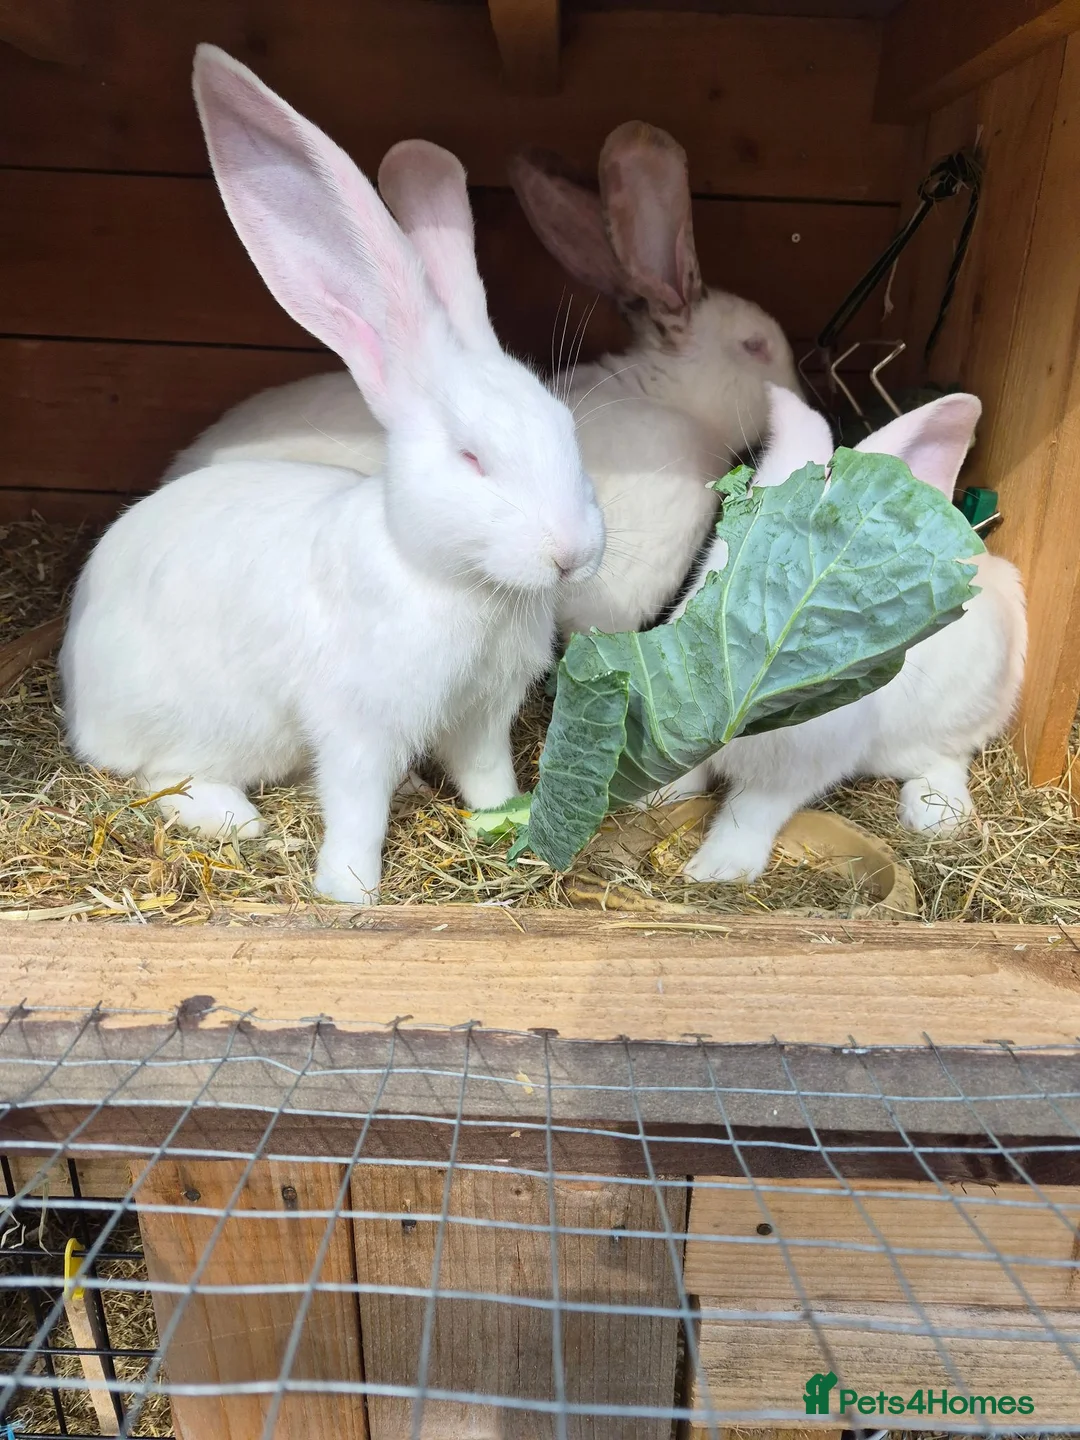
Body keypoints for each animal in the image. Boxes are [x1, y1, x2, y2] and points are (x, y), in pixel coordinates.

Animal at [60, 46, 603, 906]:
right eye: (471, 458)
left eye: (568, 432)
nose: (572, 553)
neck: (459, 582)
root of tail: (79, 701)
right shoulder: (357, 723)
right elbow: (355, 803)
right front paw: (348, 889)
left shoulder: (481, 715)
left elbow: (486, 774)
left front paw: (503, 816)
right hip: (206, 721)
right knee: (165, 774)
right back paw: (237, 820)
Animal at [647, 384, 1027, 884]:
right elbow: (683, 777)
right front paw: (650, 802)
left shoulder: (794, 771)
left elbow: (749, 815)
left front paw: (715, 870)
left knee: (950, 758)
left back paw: (934, 815)